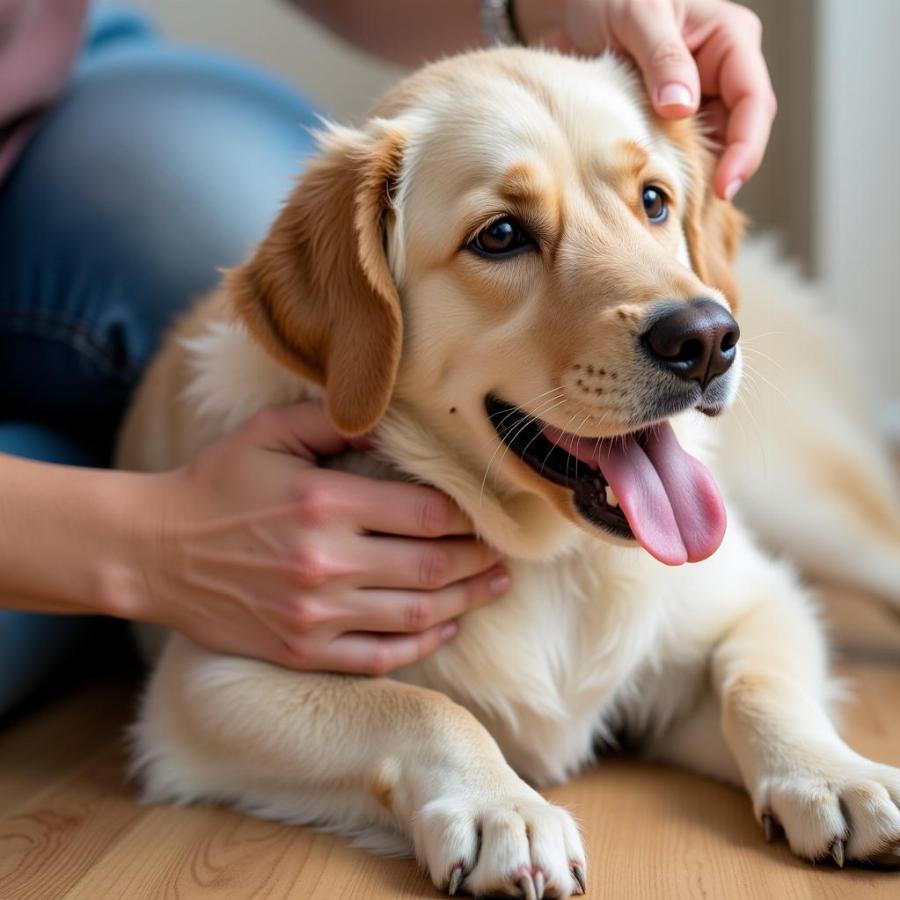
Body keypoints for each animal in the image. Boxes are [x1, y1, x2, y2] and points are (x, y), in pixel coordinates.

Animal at [118, 45, 900, 896]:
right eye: (499, 236)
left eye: (653, 201)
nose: (706, 339)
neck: (552, 561)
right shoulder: (210, 678)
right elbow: (419, 708)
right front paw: (503, 809)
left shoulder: (756, 601)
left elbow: (760, 683)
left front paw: (834, 775)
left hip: (813, 509)